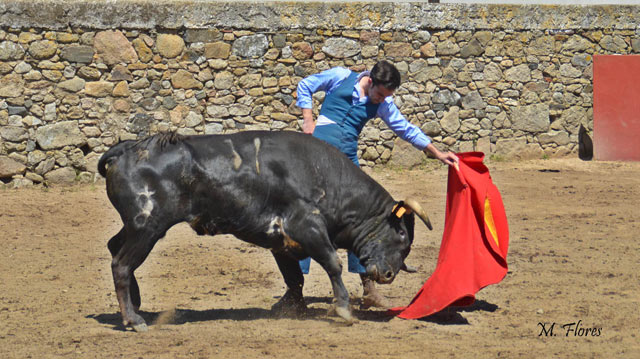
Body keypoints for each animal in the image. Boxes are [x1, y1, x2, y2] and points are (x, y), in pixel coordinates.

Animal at [99, 131, 430, 332]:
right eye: (402, 236)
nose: (388, 275)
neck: (326, 179)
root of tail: (128, 148)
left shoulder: (281, 241)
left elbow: (294, 277)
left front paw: (293, 310)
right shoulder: (308, 226)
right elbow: (333, 264)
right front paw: (344, 310)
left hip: (134, 227)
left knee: (114, 247)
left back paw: (136, 306)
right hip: (147, 226)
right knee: (121, 264)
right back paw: (134, 319)